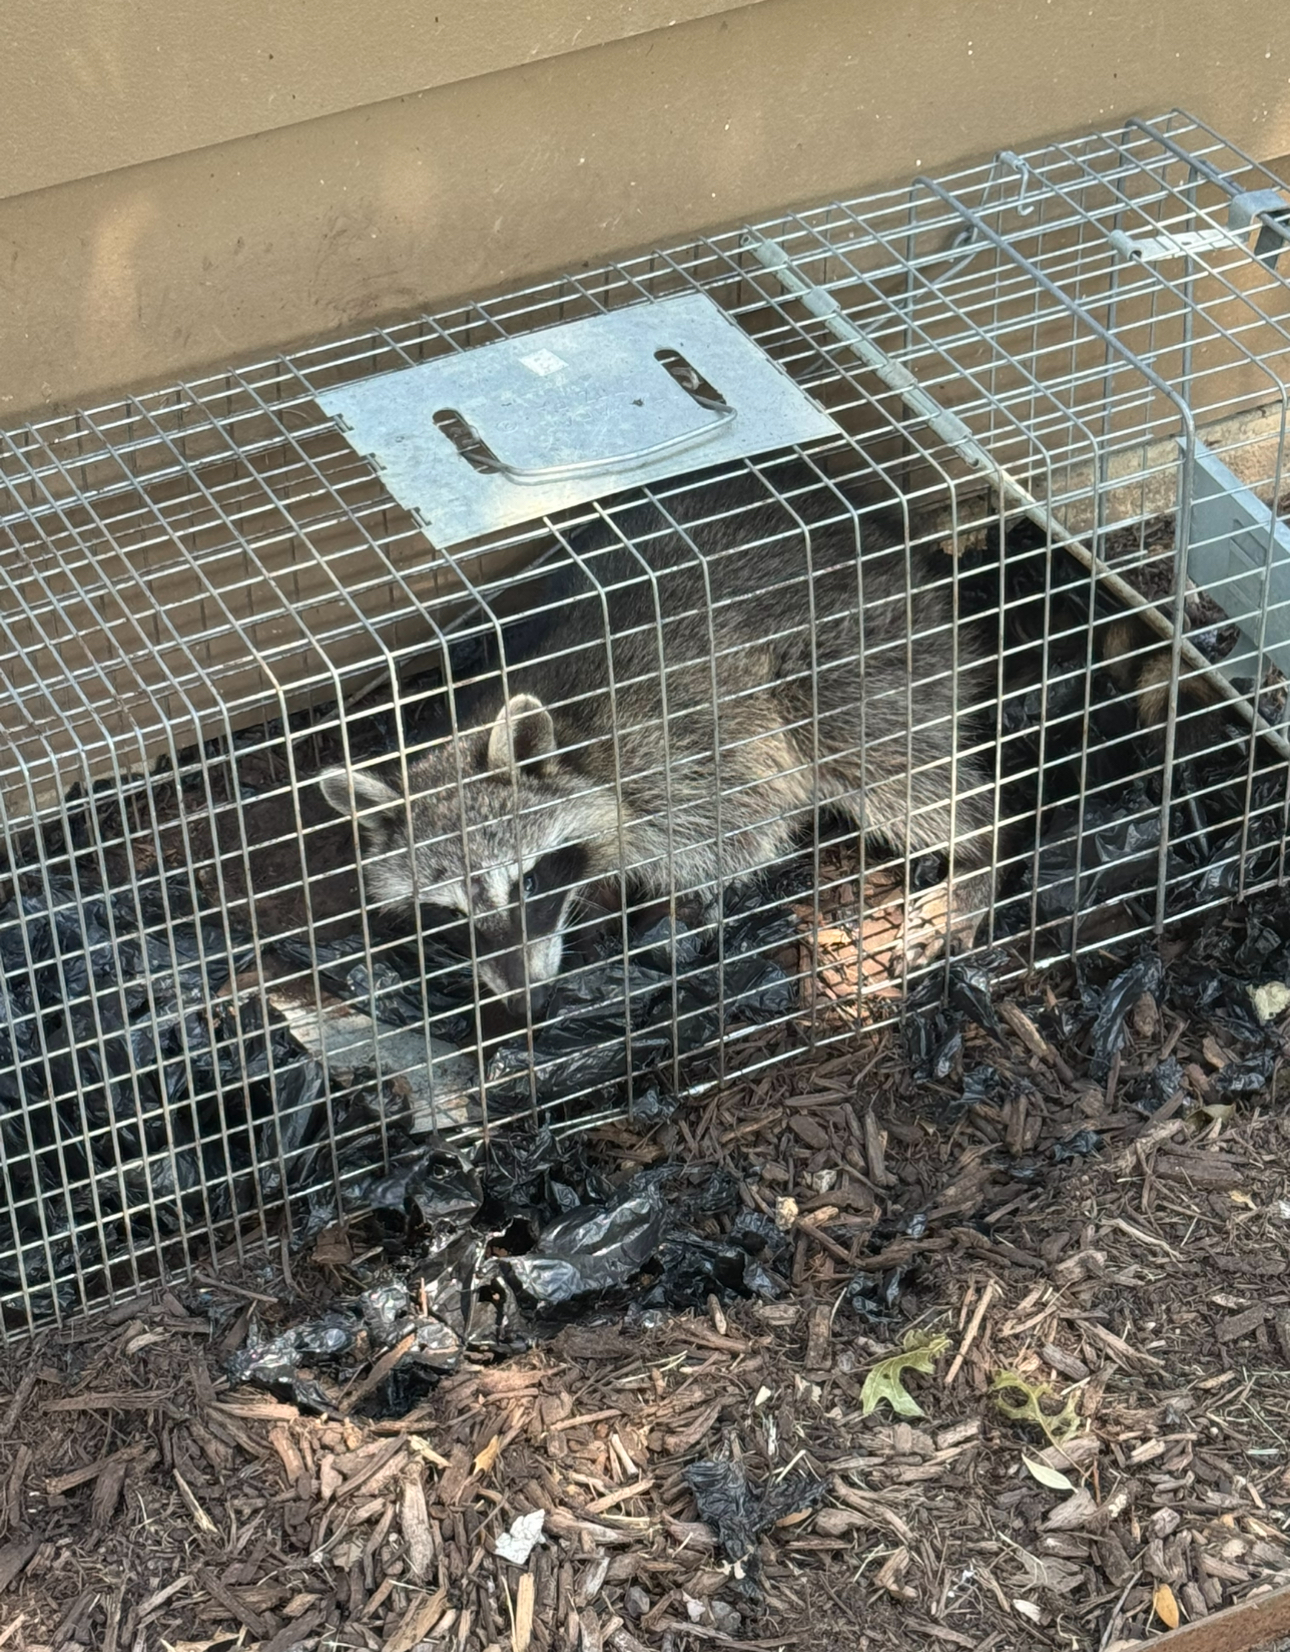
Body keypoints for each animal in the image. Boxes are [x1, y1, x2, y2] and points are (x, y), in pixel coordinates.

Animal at [320, 464, 1000, 1005]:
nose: (526, 1004)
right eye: (447, 917)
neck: (575, 744)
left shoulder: (685, 754)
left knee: (887, 763)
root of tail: (898, 543)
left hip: (853, 654)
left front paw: (677, 913)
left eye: (528, 883)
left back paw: (980, 848)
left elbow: (737, 839)